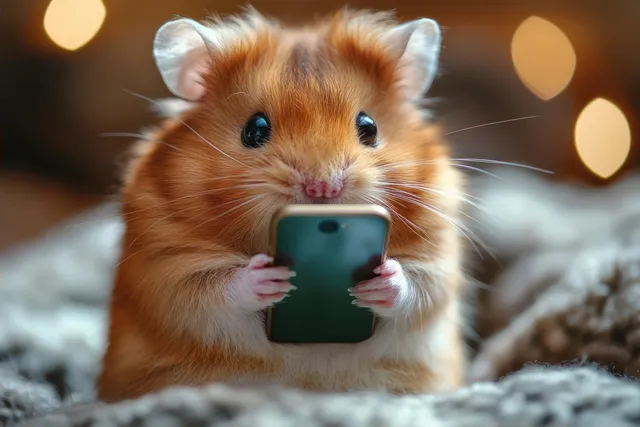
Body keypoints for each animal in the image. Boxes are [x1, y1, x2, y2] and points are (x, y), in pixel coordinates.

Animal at [97, 7, 466, 402]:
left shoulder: (437, 256)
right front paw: (269, 276)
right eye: (254, 129)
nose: (323, 188)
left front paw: (380, 280)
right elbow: (216, 291)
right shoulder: (167, 268)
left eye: (369, 127)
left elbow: (418, 287)